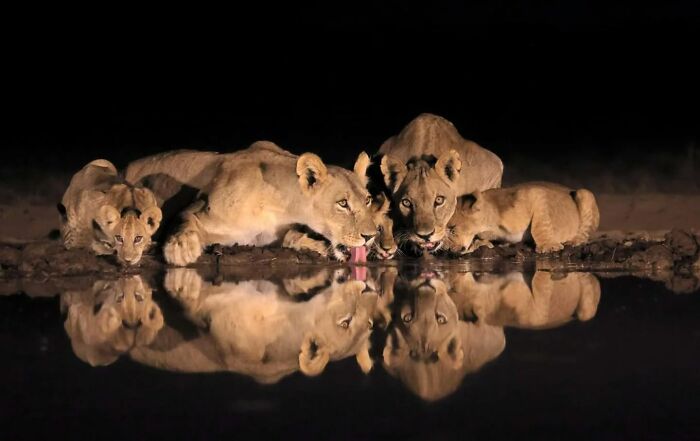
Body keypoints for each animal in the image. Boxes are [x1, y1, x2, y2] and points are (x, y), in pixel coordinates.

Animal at [124, 142, 378, 265]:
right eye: (343, 203)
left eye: (367, 200)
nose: (371, 236)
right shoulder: (200, 205)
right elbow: (184, 219)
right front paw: (180, 248)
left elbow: (290, 237)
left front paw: (313, 245)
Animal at [446, 182, 600, 254]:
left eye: (452, 229)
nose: (449, 251)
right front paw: (479, 244)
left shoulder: (537, 194)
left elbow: (540, 225)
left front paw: (548, 246)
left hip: (585, 194)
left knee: (584, 233)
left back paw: (574, 241)